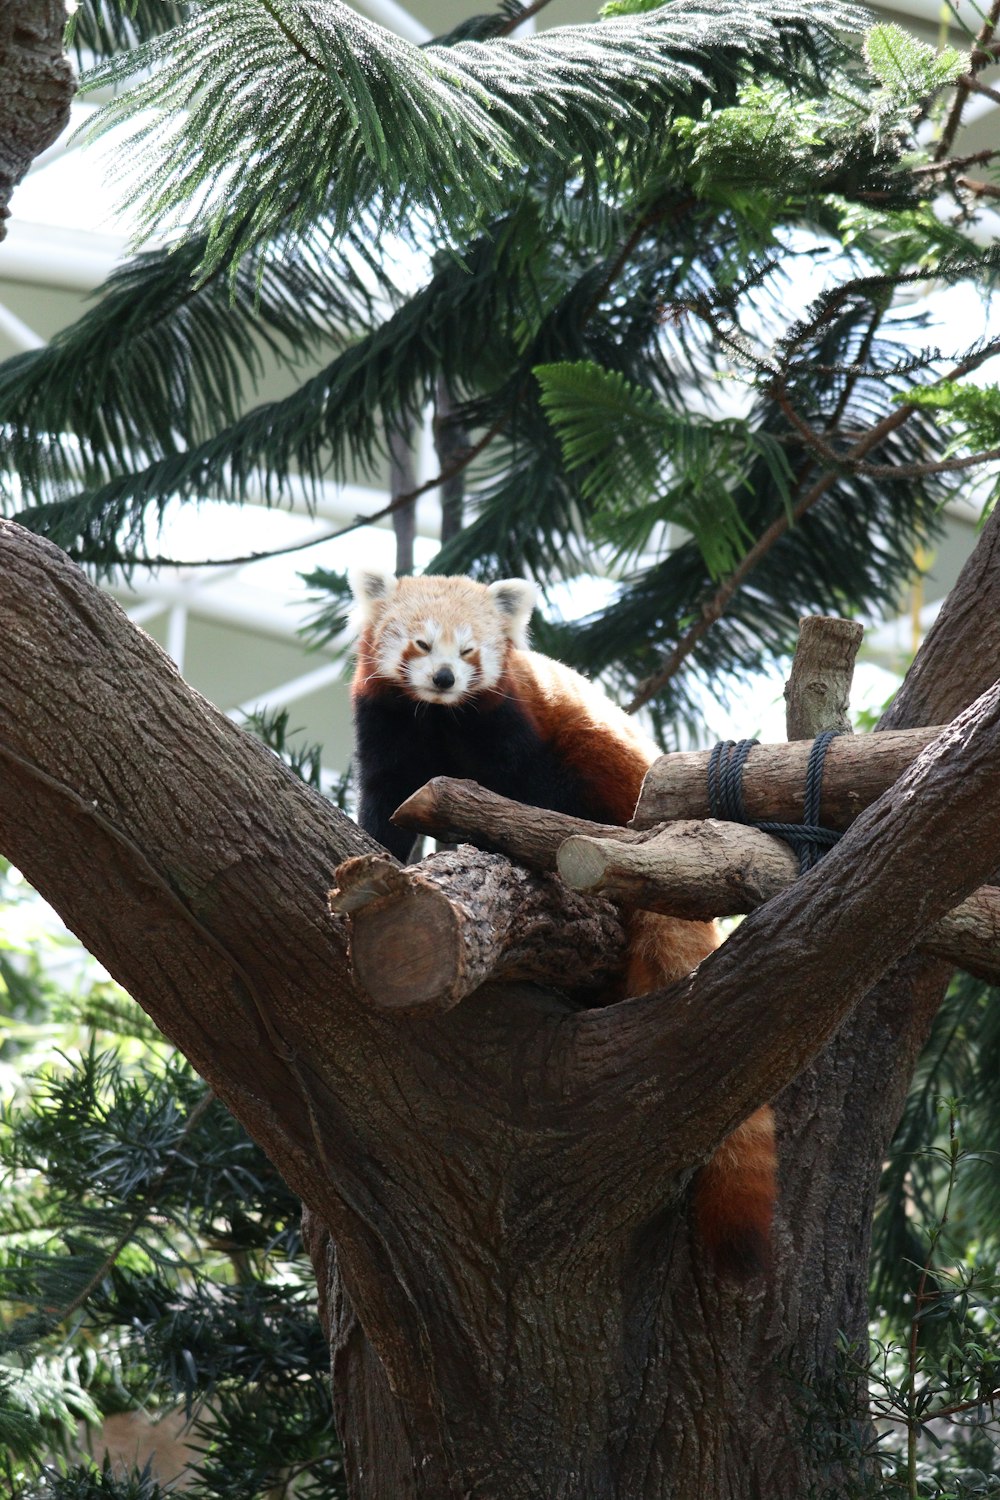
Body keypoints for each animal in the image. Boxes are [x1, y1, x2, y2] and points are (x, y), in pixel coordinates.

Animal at [347, 564, 779, 1278]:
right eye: (420, 644)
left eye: (470, 651)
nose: (445, 679)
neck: (439, 720)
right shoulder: (387, 723)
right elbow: (388, 798)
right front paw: (376, 846)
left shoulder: (512, 721)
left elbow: (521, 786)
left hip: (611, 776)